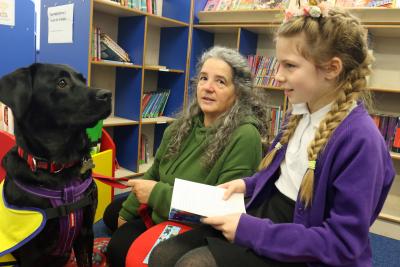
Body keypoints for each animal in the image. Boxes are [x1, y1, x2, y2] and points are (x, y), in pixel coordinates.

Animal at [0, 64, 111, 267]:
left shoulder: (85, 232)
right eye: (62, 83)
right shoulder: (32, 251)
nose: (108, 94)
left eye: (83, 80)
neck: (60, 168)